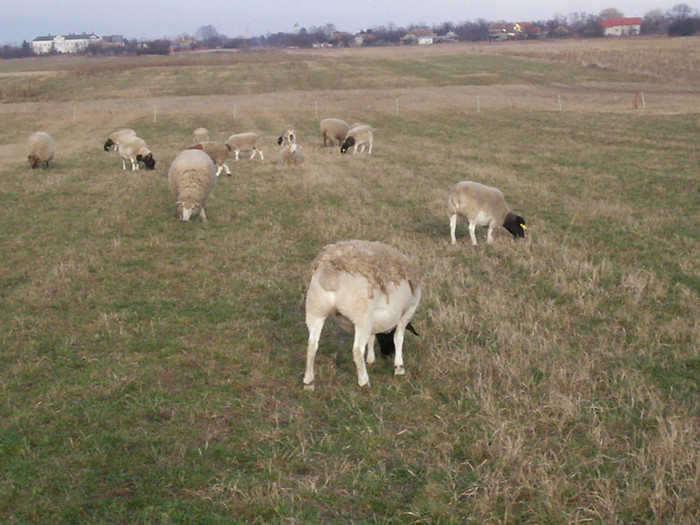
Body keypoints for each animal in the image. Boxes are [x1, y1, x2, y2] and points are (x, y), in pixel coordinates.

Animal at [302, 238, 422, 388]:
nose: (387, 354)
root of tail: (332, 276)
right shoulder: (407, 312)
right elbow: (398, 338)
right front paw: (399, 368)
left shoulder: (373, 320)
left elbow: (371, 338)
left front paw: (370, 359)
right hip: (360, 318)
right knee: (357, 350)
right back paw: (364, 381)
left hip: (315, 310)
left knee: (311, 345)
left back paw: (308, 381)